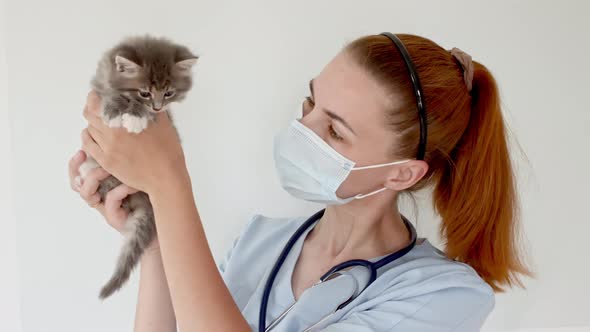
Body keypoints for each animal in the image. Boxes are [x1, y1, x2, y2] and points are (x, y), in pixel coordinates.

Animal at [77, 35, 199, 300]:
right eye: (144, 92)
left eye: (169, 93)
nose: (156, 106)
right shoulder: (99, 86)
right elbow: (111, 94)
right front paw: (115, 110)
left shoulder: (165, 117)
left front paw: (135, 118)